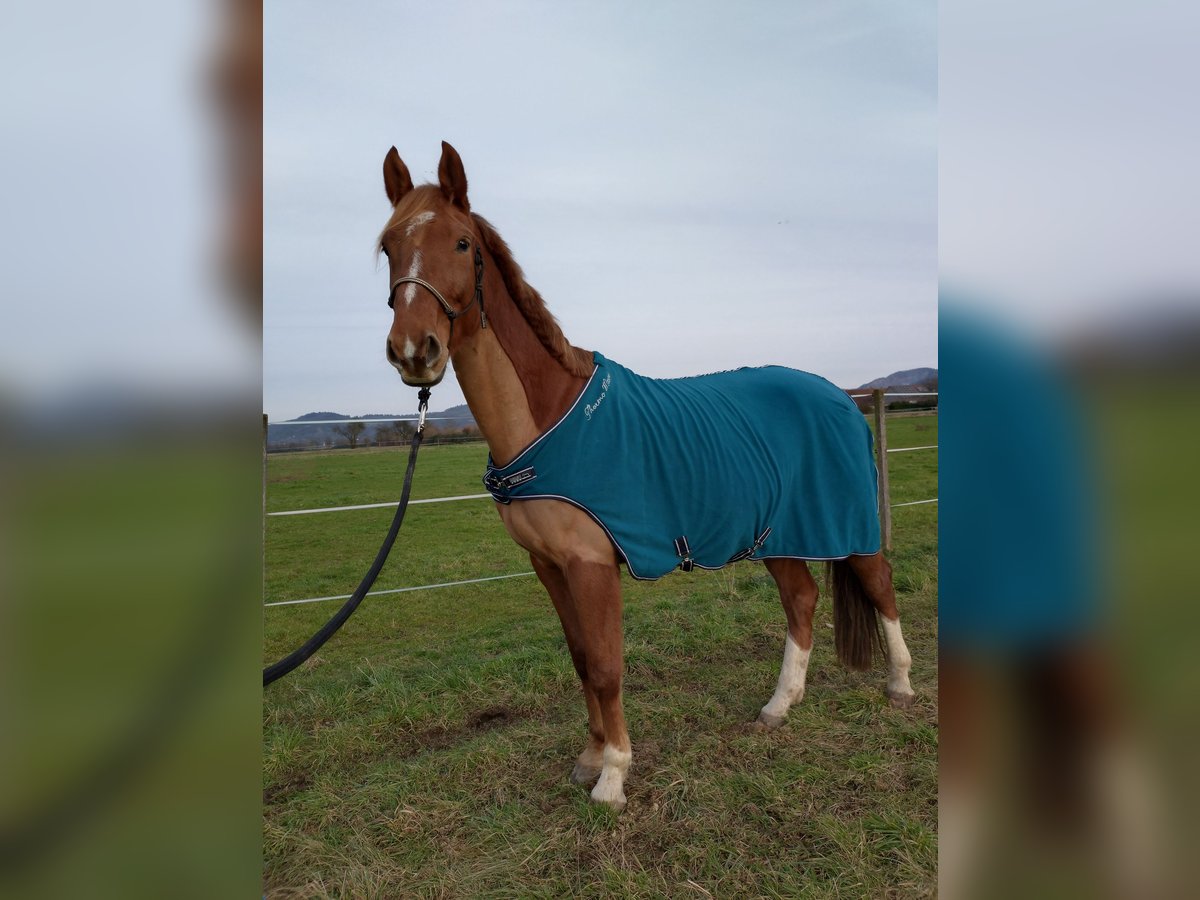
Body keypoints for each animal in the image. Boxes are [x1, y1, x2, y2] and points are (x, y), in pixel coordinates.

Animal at [379, 139, 912, 811]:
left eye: (460, 243)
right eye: (388, 246)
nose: (413, 350)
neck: (548, 419)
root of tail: (841, 396)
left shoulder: (590, 564)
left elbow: (608, 666)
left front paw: (613, 776)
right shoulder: (548, 565)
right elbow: (582, 658)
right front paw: (588, 760)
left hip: (846, 523)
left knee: (880, 584)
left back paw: (900, 685)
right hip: (777, 534)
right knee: (802, 600)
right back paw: (778, 707)